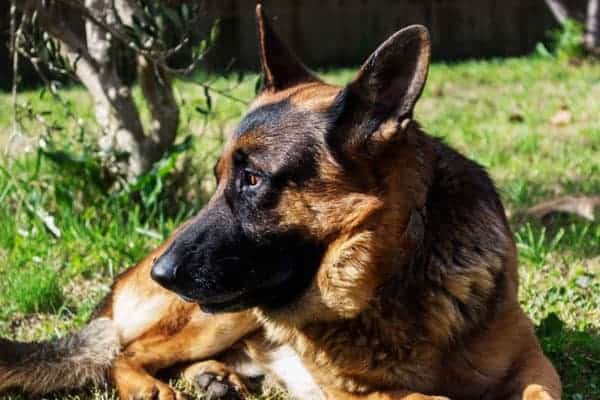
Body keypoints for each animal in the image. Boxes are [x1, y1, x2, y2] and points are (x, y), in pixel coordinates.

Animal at [0, 5, 564, 400]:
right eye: (219, 177)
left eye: (252, 180)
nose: (163, 274)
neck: (396, 273)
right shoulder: (360, 393)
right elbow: (434, 397)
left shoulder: (534, 363)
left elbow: (540, 389)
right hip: (219, 314)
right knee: (124, 351)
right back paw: (154, 385)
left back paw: (213, 377)